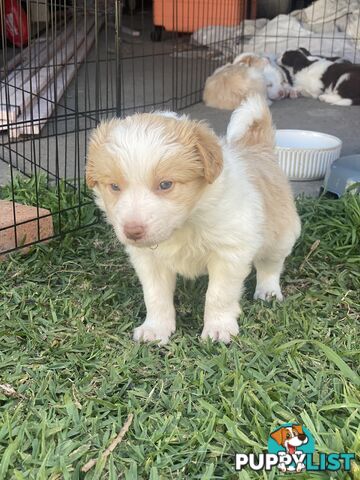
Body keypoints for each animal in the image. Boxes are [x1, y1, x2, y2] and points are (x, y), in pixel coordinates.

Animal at [86, 95, 300, 344]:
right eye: (114, 186)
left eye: (165, 184)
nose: (132, 232)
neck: (185, 223)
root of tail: (258, 147)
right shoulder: (149, 260)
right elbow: (155, 296)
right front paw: (155, 329)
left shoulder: (230, 252)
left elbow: (218, 295)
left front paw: (218, 329)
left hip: (280, 234)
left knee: (271, 265)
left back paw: (268, 291)